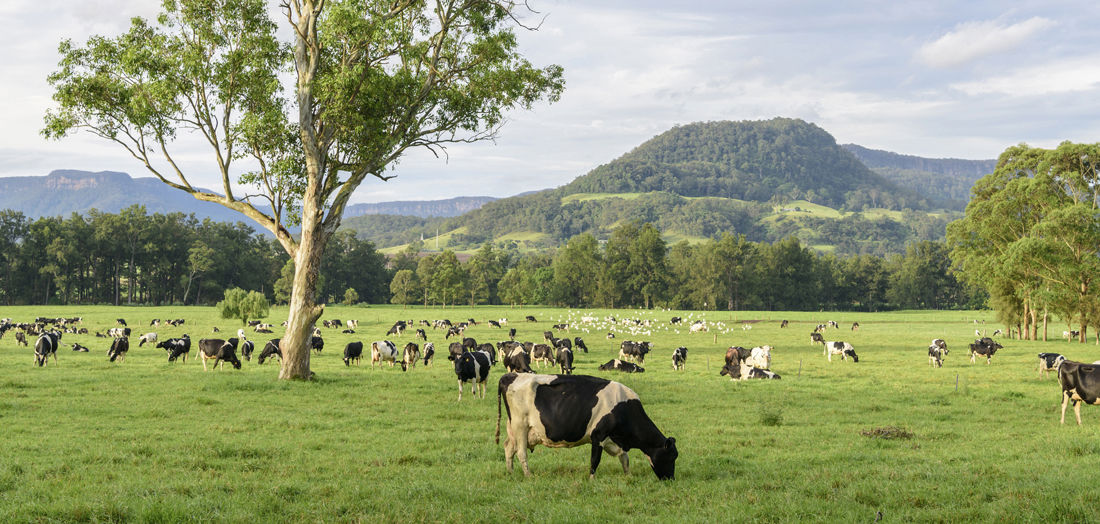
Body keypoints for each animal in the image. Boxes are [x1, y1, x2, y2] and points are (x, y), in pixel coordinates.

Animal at [492, 372, 677, 479]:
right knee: (521, 452)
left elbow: (624, 457)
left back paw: (510, 472)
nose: (670, 479)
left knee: (508, 448)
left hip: (514, 428)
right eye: (671, 456)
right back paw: (529, 476)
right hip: (520, 425)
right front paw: (591, 479)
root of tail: (510, 375)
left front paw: (628, 476)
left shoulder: (612, 439)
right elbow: (595, 460)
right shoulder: (598, 435)